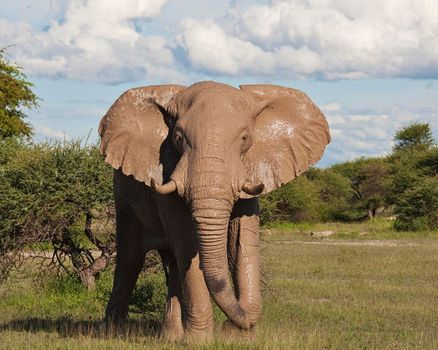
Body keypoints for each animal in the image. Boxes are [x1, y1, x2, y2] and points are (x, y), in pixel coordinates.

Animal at [98, 80, 328, 340]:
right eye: (178, 138)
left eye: (245, 138)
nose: (231, 325)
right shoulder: (167, 170)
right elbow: (188, 244)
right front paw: (199, 340)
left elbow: (241, 242)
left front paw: (237, 337)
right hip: (124, 197)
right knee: (130, 259)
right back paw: (114, 332)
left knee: (171, 265)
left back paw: (170, 336)